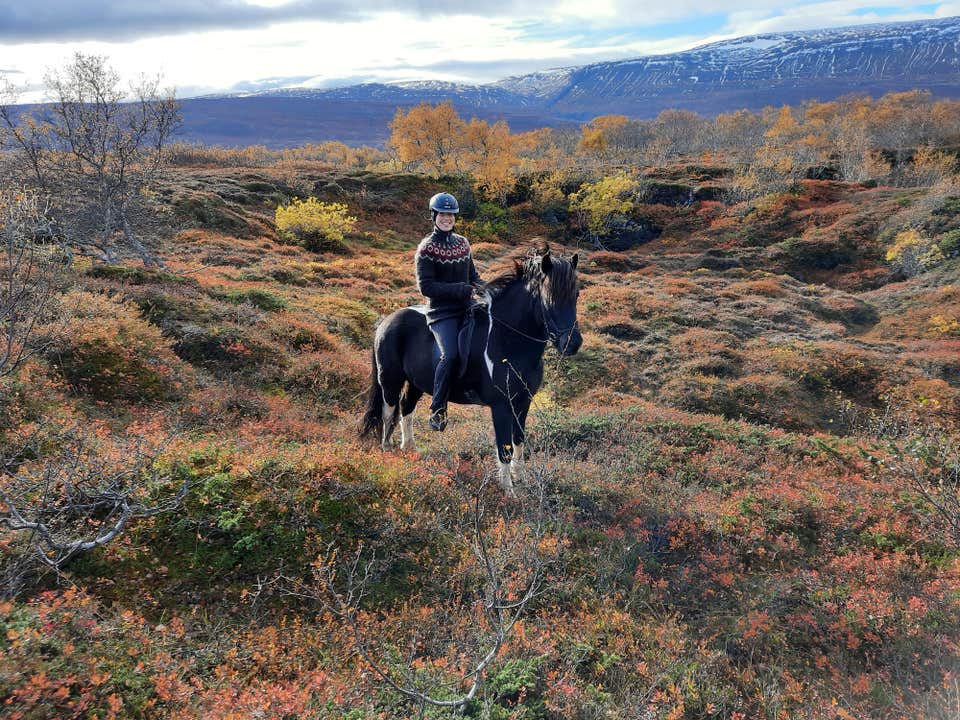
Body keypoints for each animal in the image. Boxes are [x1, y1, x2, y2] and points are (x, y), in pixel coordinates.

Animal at [360, 244, 582, 494]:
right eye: (549, 297)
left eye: (576, 295)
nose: (572, 344)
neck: (508, 340)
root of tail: (386, 321)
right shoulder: (501, 406)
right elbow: (504, 447)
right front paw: (508, 491)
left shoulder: (522, 402)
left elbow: (519, 440)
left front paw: (522, 479)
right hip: (390, 379)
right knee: (388, 411)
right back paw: (388, 450)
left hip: (418, 382)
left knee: (406, 407)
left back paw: (410, 450)